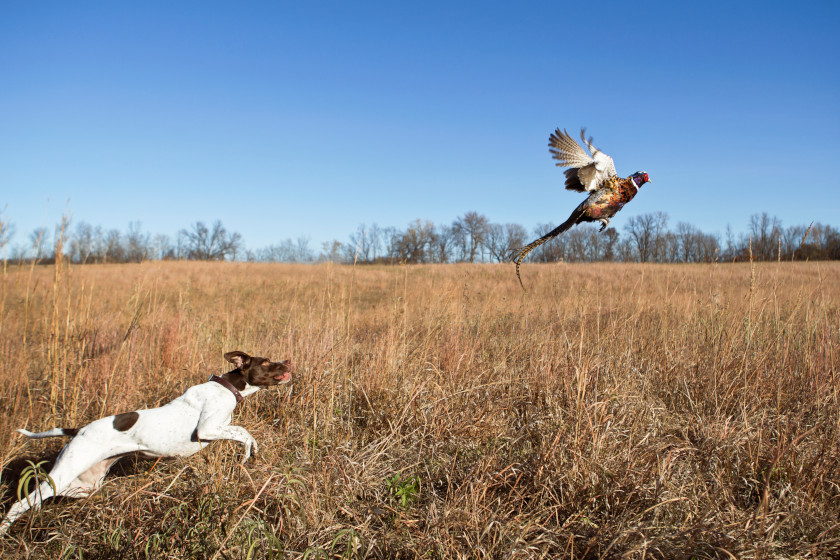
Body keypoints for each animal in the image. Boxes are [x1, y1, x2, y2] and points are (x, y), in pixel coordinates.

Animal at [0, 348, 292, 536]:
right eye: (267, 362)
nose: (289, 361)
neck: (227, 387)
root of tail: (78, 430)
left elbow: (243, 433)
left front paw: (250, 455)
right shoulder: (207, 429)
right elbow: (243, 431)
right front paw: (248, 452)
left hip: (84, 484)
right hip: (65, 472)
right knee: (21, 503)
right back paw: (4, 530)